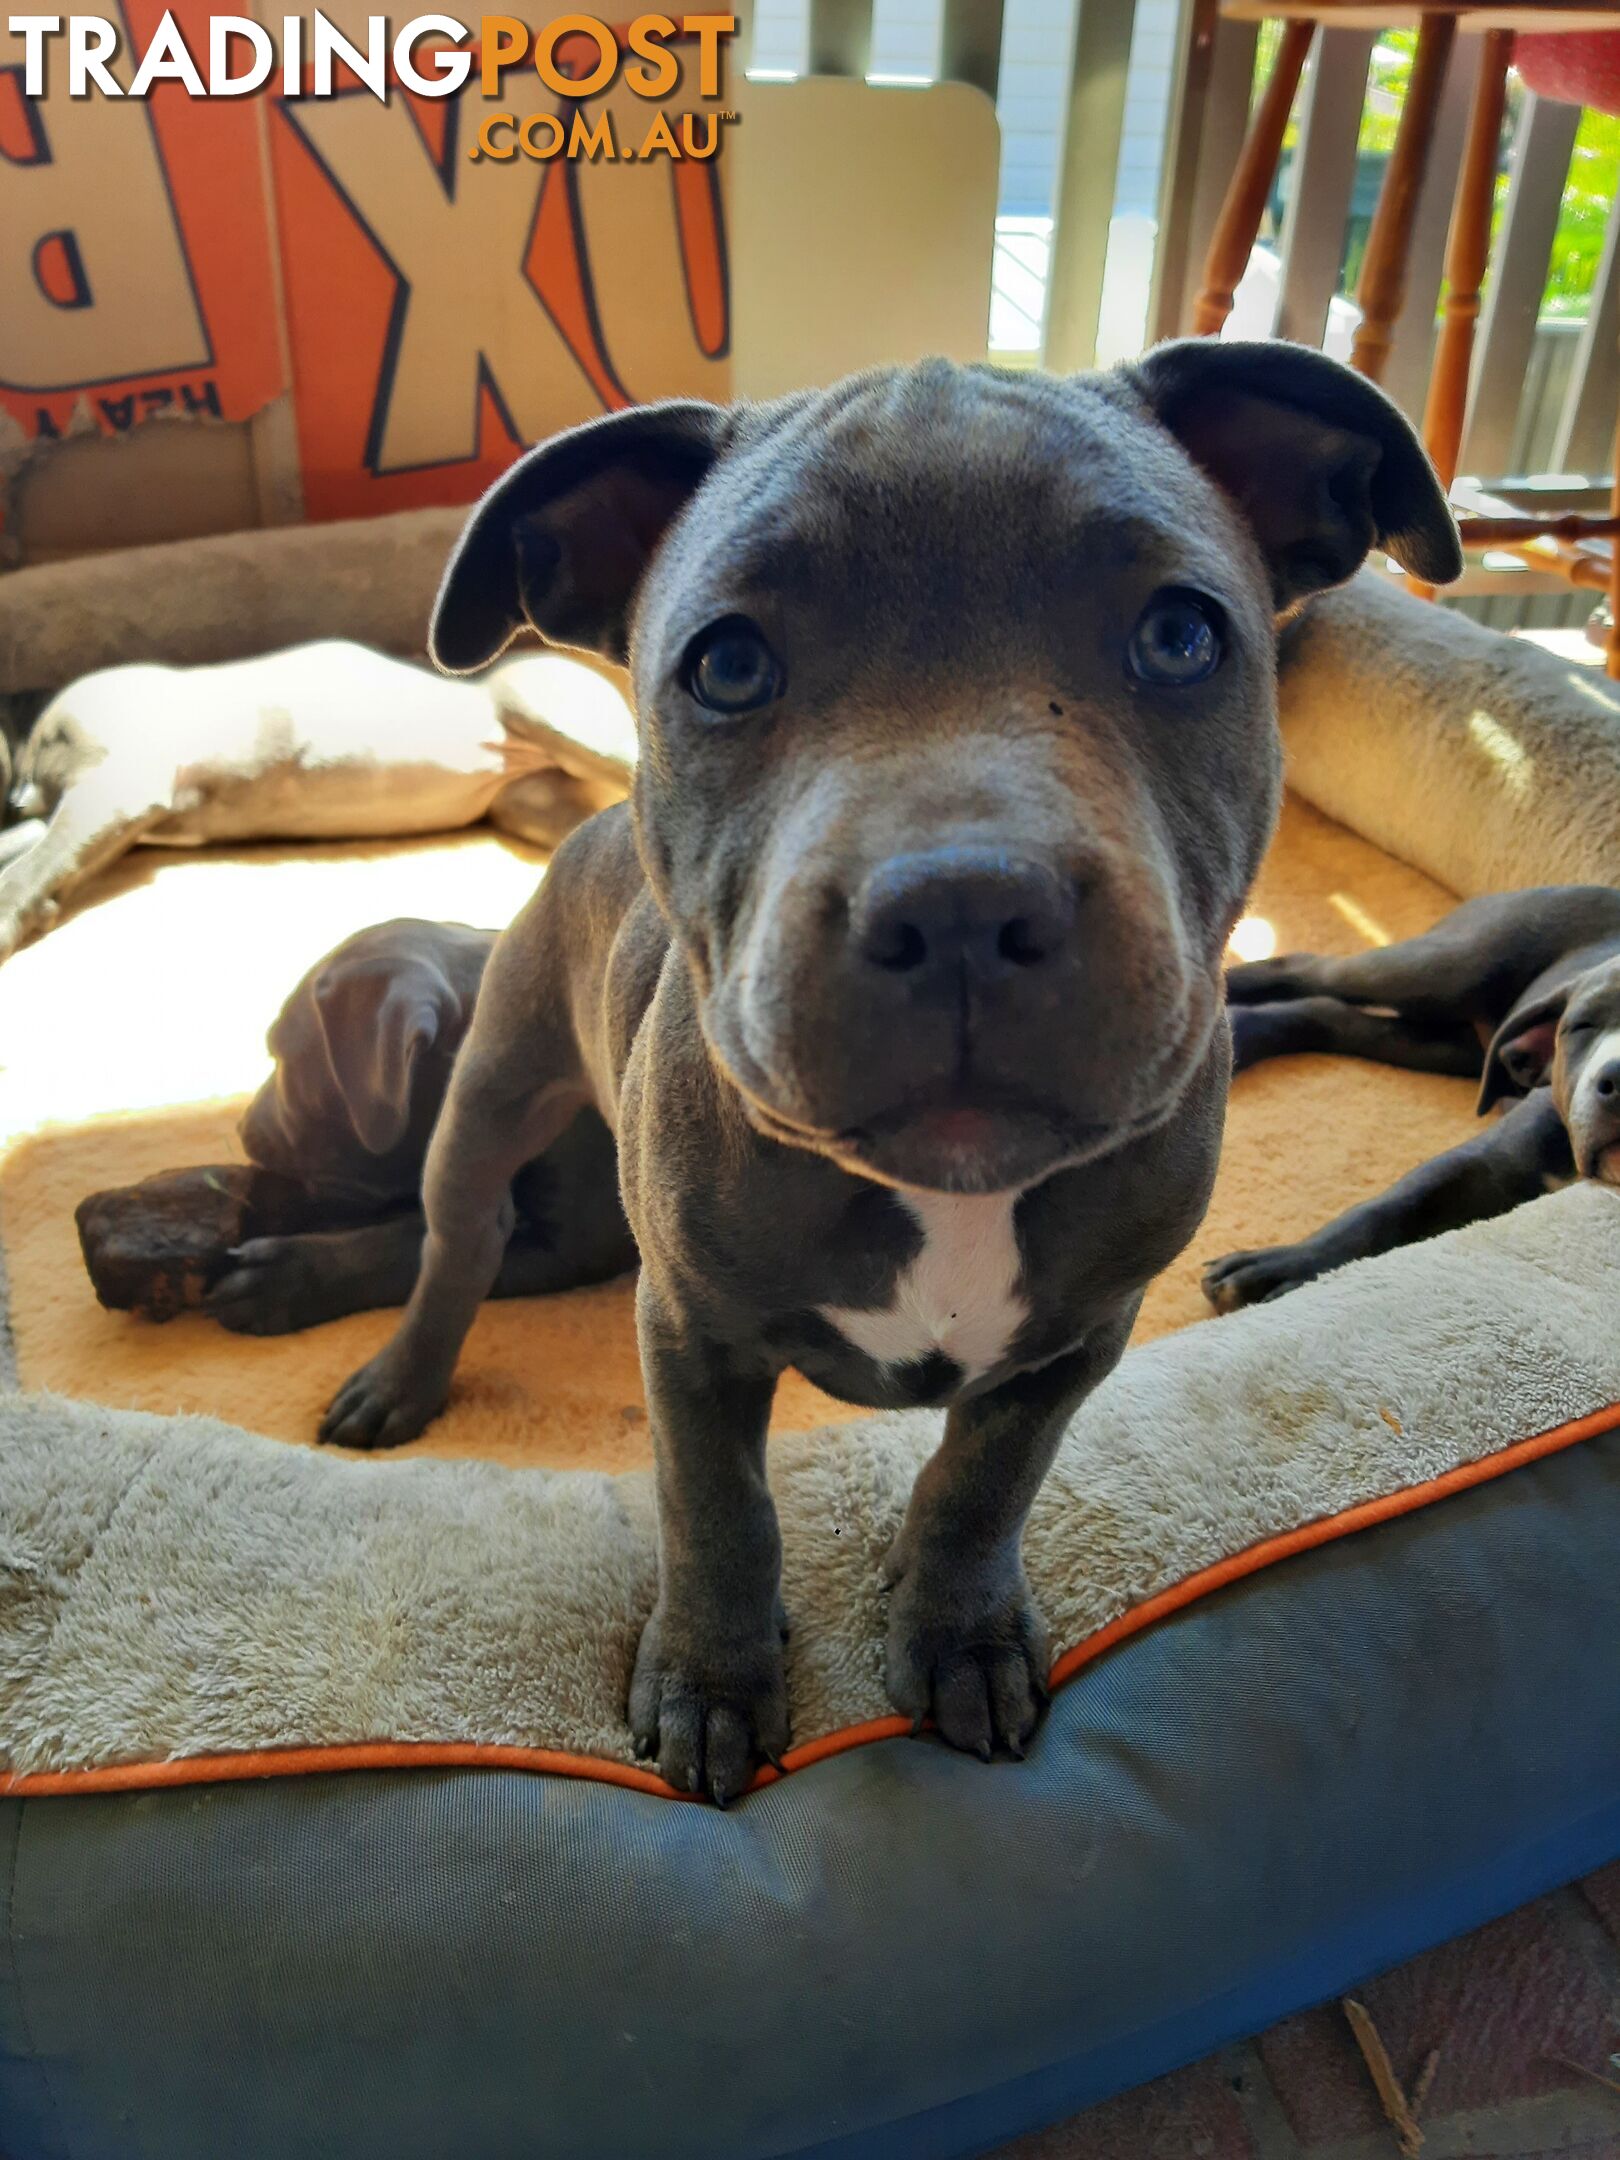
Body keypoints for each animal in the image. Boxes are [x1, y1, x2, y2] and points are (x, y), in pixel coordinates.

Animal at [1200, 885, 1620, 1304]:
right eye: (1582, 1025)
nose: (1615, 1078)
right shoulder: (1487, 1161)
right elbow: (1394, 1206)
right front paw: (1282, 1264)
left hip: (1446, 1044)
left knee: (1333, 1016)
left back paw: (1244, 1032)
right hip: (1449, 969)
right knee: (1309, 969)